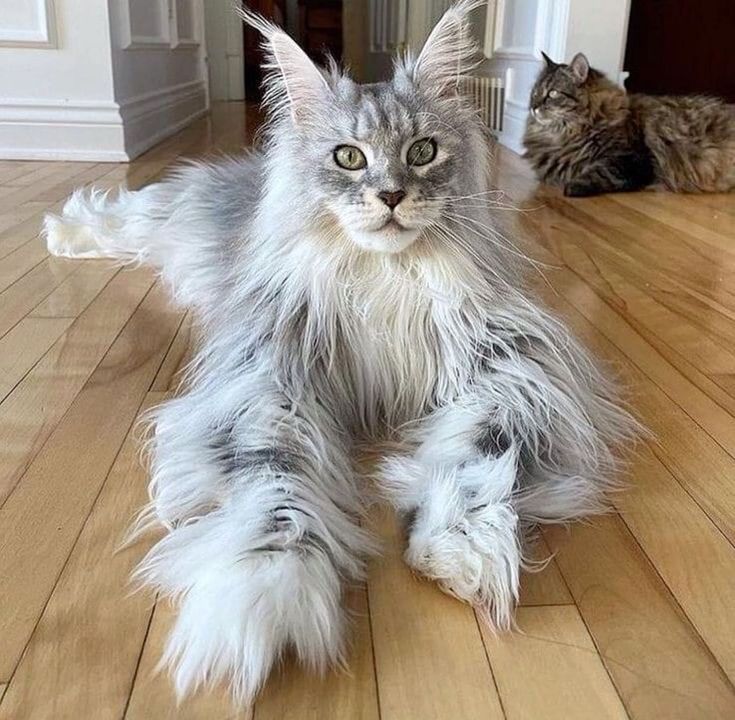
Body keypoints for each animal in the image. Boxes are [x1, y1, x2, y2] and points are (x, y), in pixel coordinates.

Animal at [44, 0, 640, 704]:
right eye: (350, 158)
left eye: (422, 152)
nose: (391, 196)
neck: (385, 277)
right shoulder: (265, 384)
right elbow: (273, 484)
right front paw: (264, 594)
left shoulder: (516, 366)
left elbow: (482, 455)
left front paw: (457, 546)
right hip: (163, 218)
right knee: (116, 212)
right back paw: (60, 232)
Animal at [524, 52, 735, 197]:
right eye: (535, 92)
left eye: (553, 93)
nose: (533, 107)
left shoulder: (633, 160)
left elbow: (601, 172)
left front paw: (574, 186)